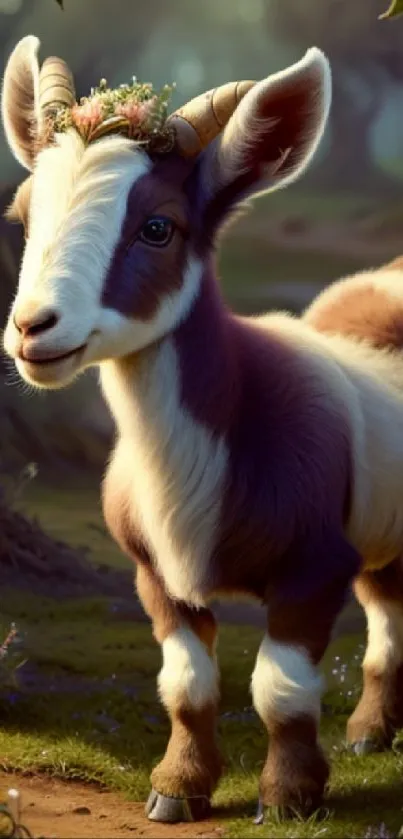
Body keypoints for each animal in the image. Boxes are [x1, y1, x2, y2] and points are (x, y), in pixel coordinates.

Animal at [3, 34, 403, 828]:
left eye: (159, 226)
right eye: (24, 219)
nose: (33, 329)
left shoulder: (314, 566)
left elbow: (281, 690)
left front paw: (288, 798)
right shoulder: (156, 575)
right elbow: (185, 684)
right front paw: (176, 788)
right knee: (388, 613)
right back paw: (372, 734)